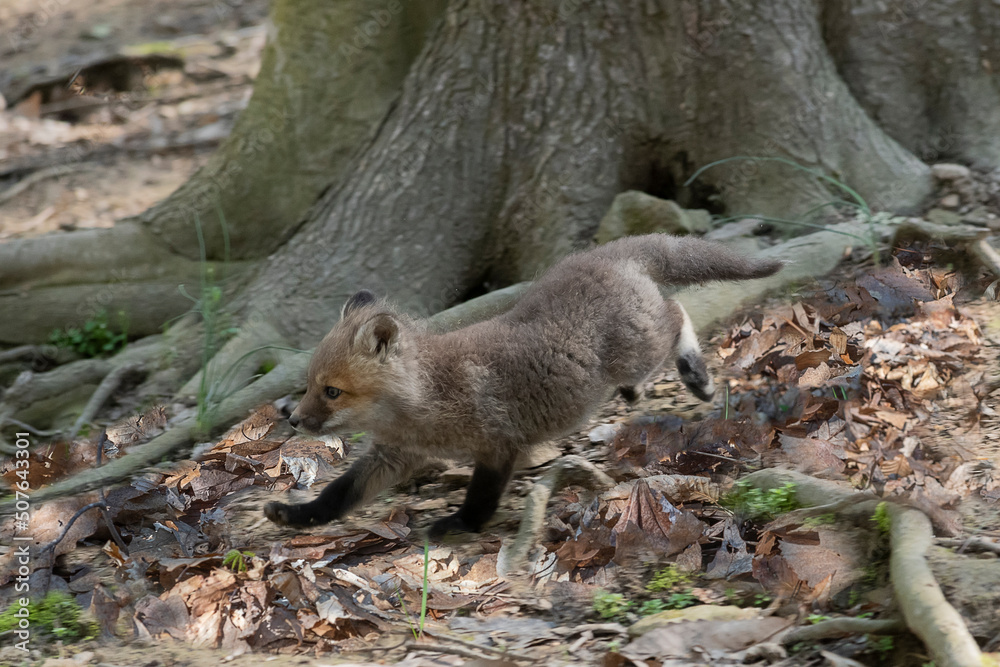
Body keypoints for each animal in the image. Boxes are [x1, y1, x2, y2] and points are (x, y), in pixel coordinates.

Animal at [264, 234, 782, 537]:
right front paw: (299, 516)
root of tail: (605, 252)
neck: (427, 398)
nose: (293, 420)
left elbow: (481, 498)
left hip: (640, 346)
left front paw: (459, 524)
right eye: (308, 385)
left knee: (676, 313)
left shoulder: (498, 444)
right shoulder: (393, 455)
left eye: (332, 392)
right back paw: (641, 391)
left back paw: (697, 375)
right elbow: (339, 495)